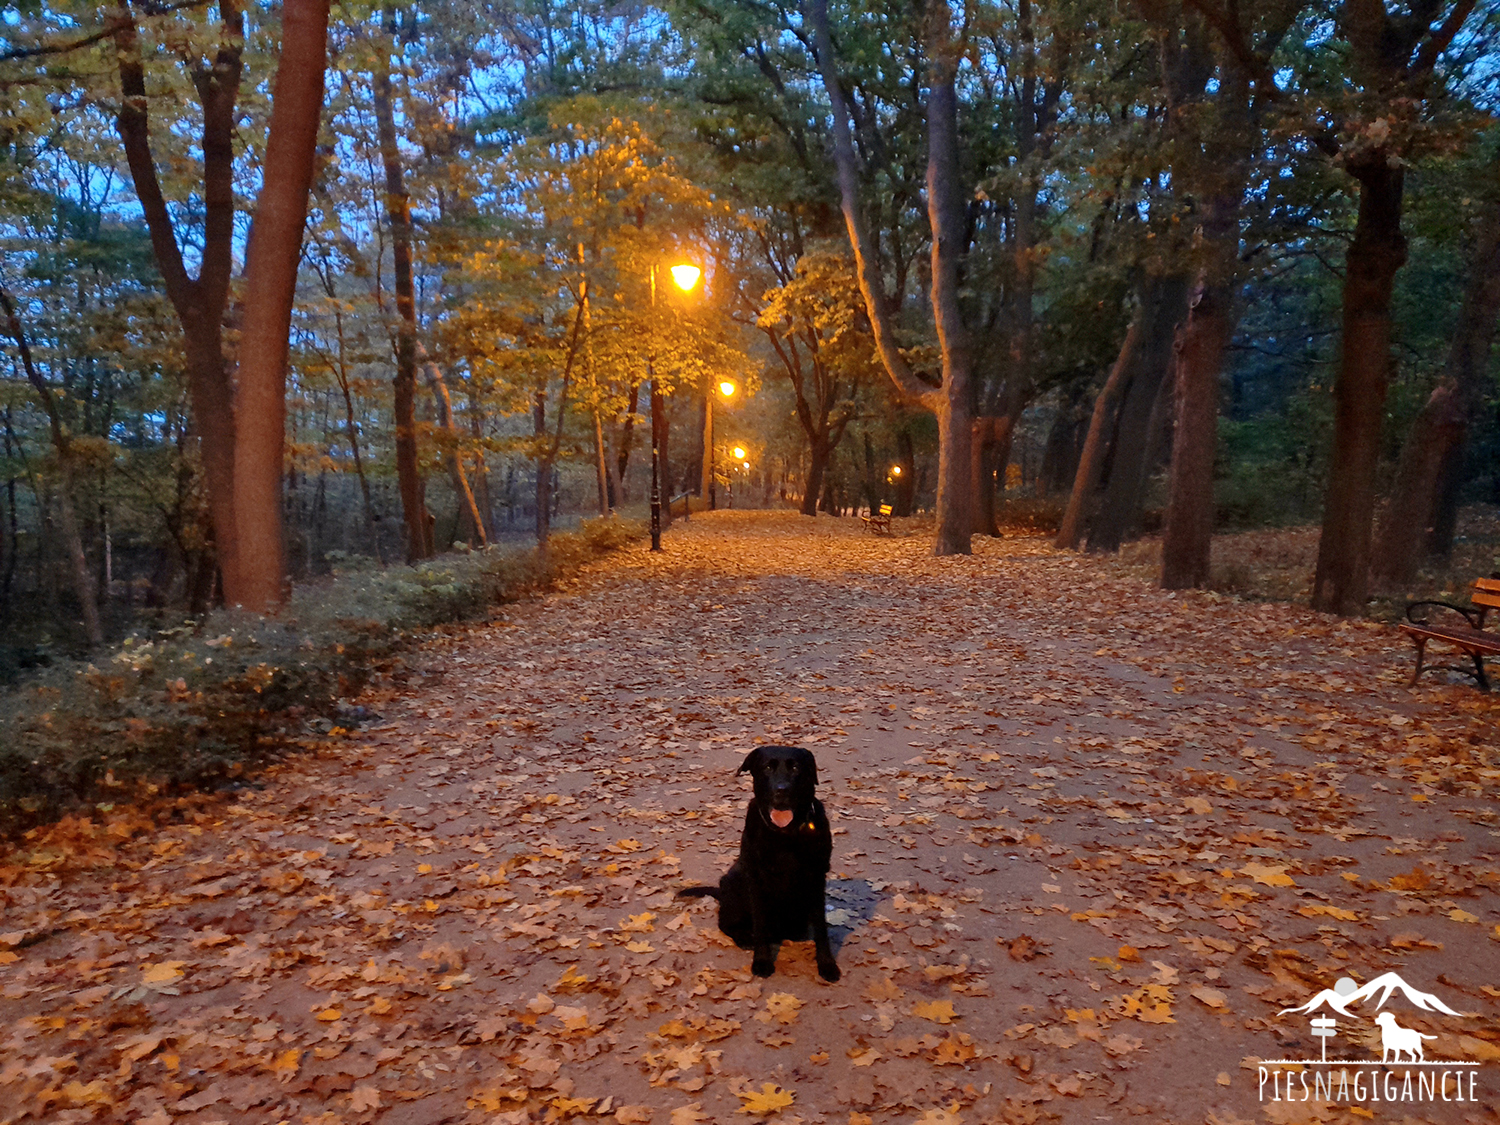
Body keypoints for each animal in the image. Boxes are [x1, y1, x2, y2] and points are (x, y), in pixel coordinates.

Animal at [684, 753, 846, 984]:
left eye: (796, 768)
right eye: (767, 768)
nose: (782, 789)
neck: (785, 834)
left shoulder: (817, 876)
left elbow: (821, 928)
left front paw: (826, 964)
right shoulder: (755, 878)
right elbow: (759, 924)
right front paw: (761, 961)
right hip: (733, 881)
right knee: (726, 923)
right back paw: (744, 937)